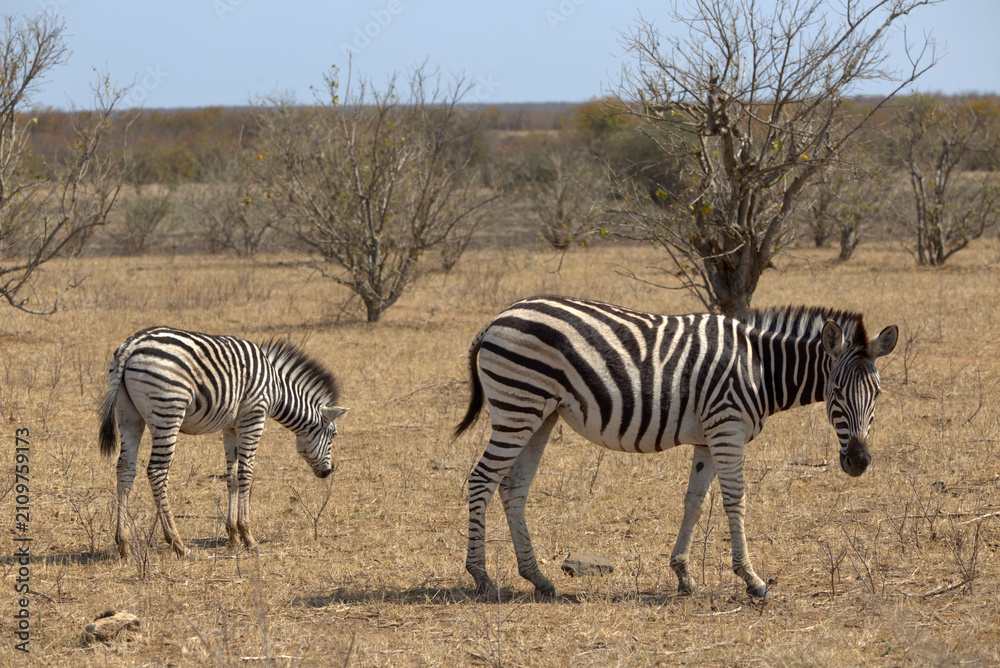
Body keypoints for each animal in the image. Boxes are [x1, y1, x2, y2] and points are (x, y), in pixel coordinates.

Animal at [99, 326, 348, 559]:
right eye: (334, 435)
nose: (328, 472)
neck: (276, 389)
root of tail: (131, 345)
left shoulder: (230, 427)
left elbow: (231, 476)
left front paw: (233, 535)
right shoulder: (253, 419)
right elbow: (246, 474)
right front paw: (249, 537)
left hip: (128, 415)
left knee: (125, 469)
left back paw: (124, 544)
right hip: (168, 411)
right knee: (157, 471)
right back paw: (178, 544)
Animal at [454, 296, 897, 599]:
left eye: (878, 393)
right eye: (836, 392)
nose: (859, 462)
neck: (760, 368)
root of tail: (496, 320)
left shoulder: (708, 438)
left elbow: (694, 502)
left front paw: (683, 575)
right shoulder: (727, 429)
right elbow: (735, 501)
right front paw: (752, 579)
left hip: (541, 415)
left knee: (513, 488)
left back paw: (538, 578)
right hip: (518, 407)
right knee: (481, 480)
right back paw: (480, 575)